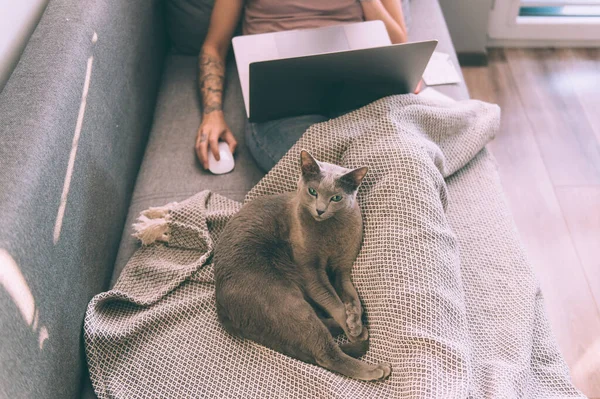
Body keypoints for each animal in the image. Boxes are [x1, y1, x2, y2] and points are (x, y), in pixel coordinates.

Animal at [213, 150, 392, 382]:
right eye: (312, 191)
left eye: (336, 197)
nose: (320, 210)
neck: (331, 231)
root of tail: (223, 311)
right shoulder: (311, 273)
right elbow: (333, 301)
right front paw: (350, 324)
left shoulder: (343, 270)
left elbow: (351, 295)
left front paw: (354, 319)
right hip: (284, 300)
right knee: (324, 352)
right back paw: (374, 367)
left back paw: (360, 327)